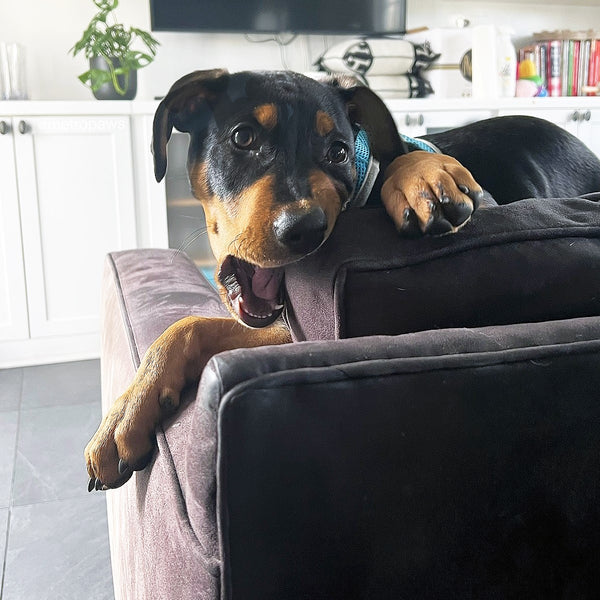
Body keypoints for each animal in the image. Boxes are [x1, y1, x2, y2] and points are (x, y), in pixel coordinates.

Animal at [84, 68, 600, 490]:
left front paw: (419, 174)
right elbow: (188, 325)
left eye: (338, 151)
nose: (305, 230)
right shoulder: (282, 326)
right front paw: (126, 413)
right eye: (243, 137)